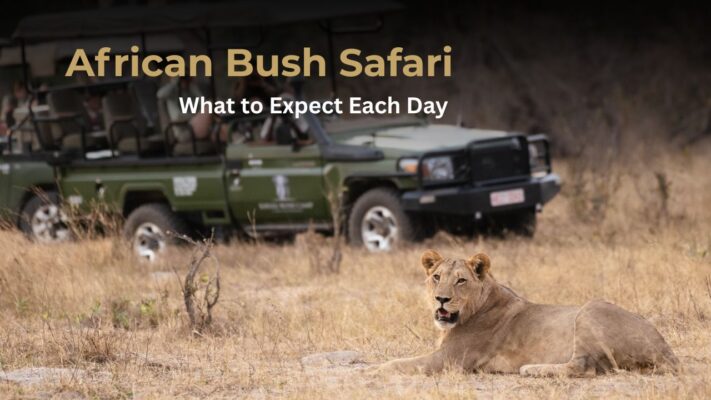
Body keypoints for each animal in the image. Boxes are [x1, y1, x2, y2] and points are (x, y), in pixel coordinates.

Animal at [377, 250, 679, 377]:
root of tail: (666, 350)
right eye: (437, 277)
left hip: (591, 308)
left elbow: (400, 364)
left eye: (461, 280)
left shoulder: (450, 360)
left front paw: (373, 370)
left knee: (583, 367)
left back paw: (531, 369)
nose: (441, 299)